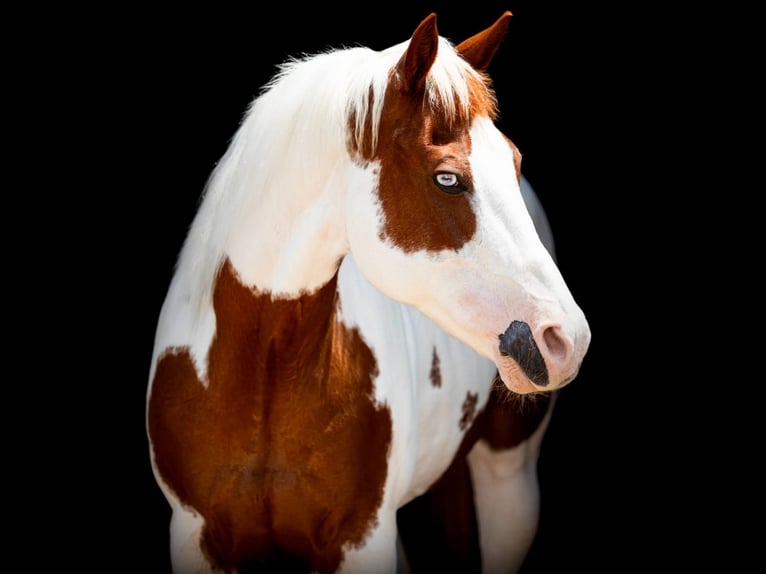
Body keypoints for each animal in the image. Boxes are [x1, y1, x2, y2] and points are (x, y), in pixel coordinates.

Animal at [146, 11, 591, 573]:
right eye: (448, 179)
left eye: (514, 162)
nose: (566, 339)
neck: (264, 377)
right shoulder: (196, 538)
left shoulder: (362, 538)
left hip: (508, 481)